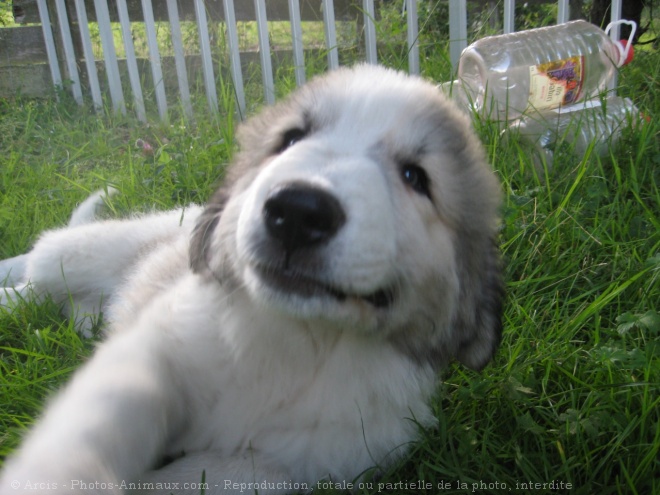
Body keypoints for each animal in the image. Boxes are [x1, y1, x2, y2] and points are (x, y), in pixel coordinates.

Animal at [0, 64, 500, 494]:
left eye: (416, 177)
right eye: (290, 139)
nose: (297, 211)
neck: (291, 339)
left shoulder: (325, 455)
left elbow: (216, 474)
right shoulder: (158, 345)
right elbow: (108, 412)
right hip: (84, 252)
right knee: (36, 267)